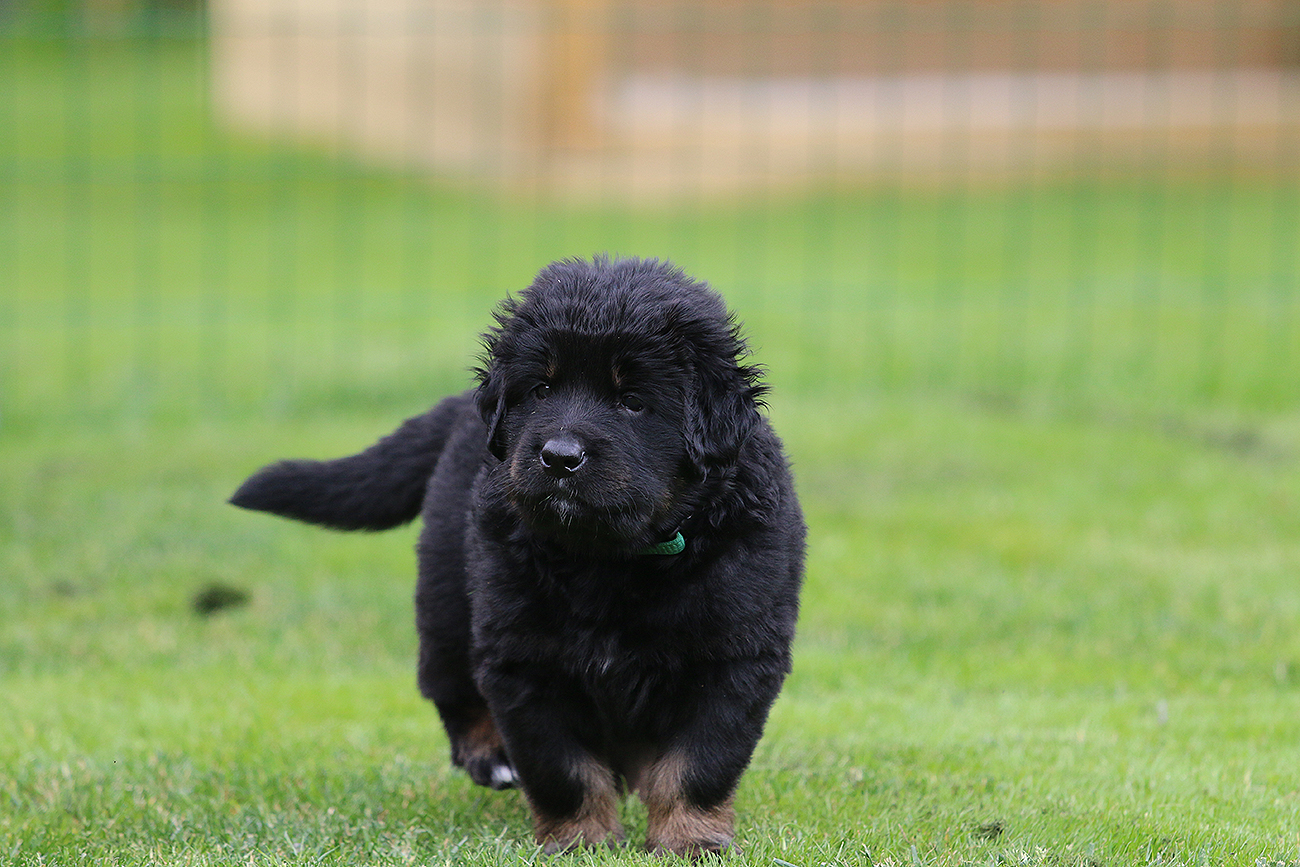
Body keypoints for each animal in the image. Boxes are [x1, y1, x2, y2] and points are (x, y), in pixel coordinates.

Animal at [230, 256, 805, 856]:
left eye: (632, 401)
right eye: (541, 390)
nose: (559, 457)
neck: (611, 560)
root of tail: (461, 408)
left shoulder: (733, 656)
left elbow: (698, 764)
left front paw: (690, 841)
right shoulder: (523, 658)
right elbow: (561, 767)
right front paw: (580, 840)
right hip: (446, 598)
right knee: (450, 686)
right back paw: (490, 757)